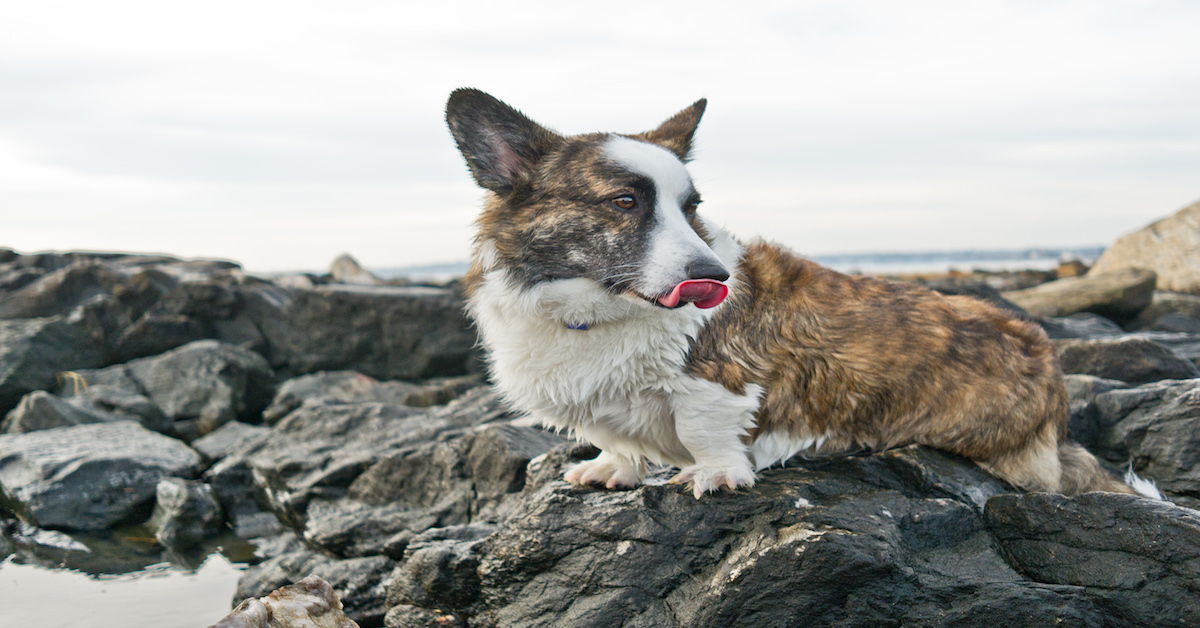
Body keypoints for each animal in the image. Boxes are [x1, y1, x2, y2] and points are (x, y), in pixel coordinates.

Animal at [446, 89, 1156, 501]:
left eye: (691, 207)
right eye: (625, 202)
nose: (715, 280)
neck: (596, 311)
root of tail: (1050, 367)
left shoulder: (720, 384)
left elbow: (704, 429)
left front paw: (714, 474)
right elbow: (614, 437)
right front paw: (613, 465)